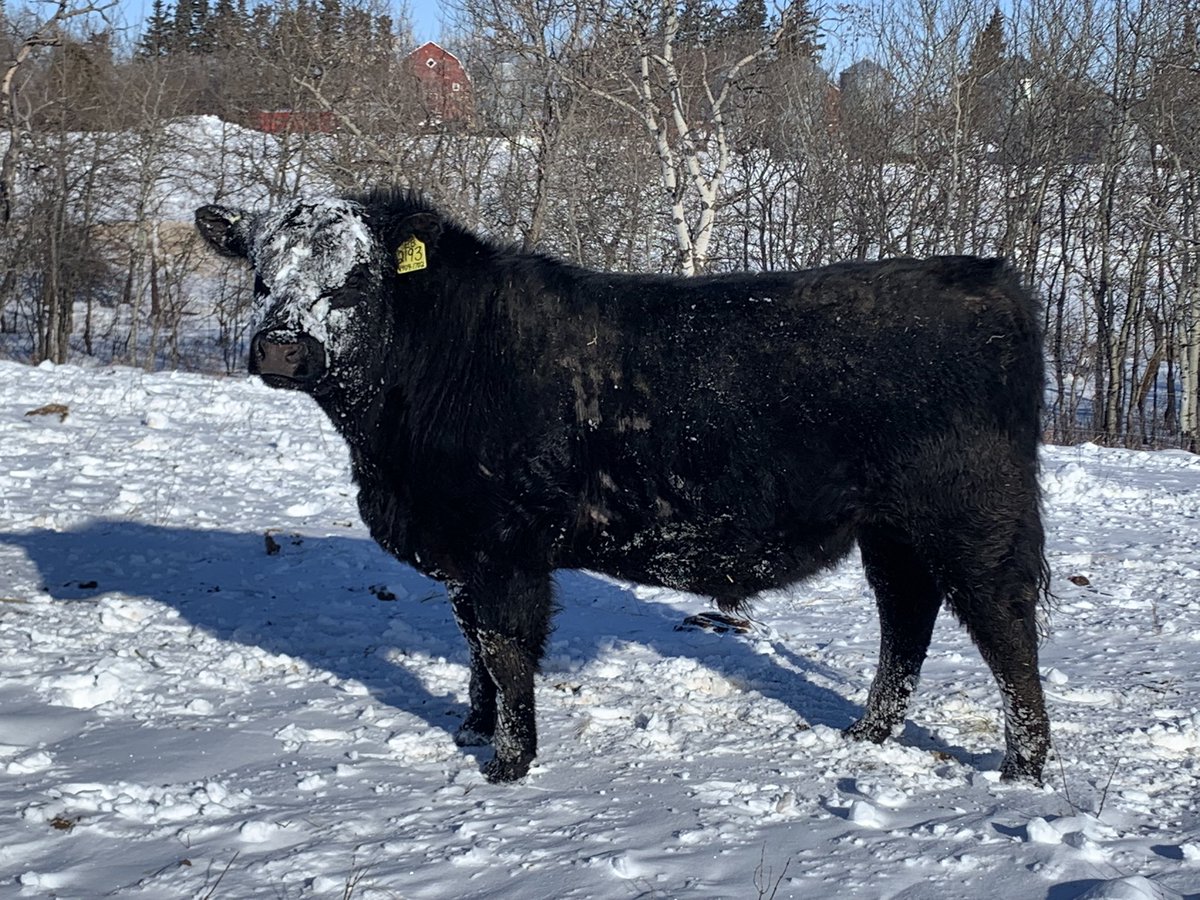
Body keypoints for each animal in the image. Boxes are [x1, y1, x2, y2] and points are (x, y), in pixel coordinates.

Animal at [195, 189, 1051, 785]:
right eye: (262, 277)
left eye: (353, 283)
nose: (279, 347)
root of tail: (986, 276)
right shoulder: (468, 548)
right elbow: (473, 644)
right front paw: (473, 728)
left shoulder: (507, 547)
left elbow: (505, 649)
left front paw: (508, 763)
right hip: (893, 529)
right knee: (906, 616)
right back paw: (869, 733)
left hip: (974, 517)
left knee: (1005, 630)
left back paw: (1023, 767)